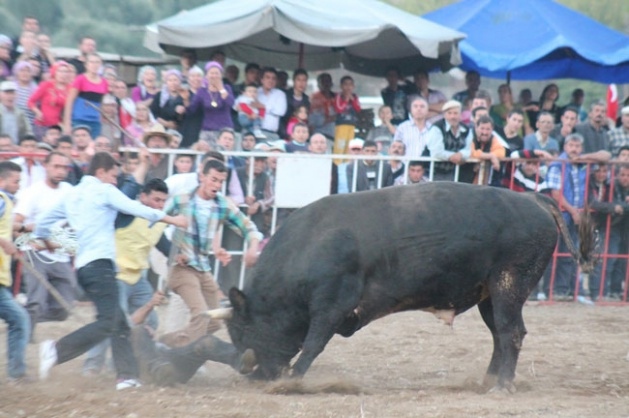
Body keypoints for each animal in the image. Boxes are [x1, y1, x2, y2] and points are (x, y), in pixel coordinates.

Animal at [224, 183, 592, 392]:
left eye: (244, 329)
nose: (251, 374)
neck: (310, 244)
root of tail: (533, 200)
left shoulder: (331, 305)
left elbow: (313, 344)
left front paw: (293, 379)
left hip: (509, 285)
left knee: (510, 332)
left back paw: (502, 386)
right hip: (490, 294)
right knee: (500, 335)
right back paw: (489, 381)